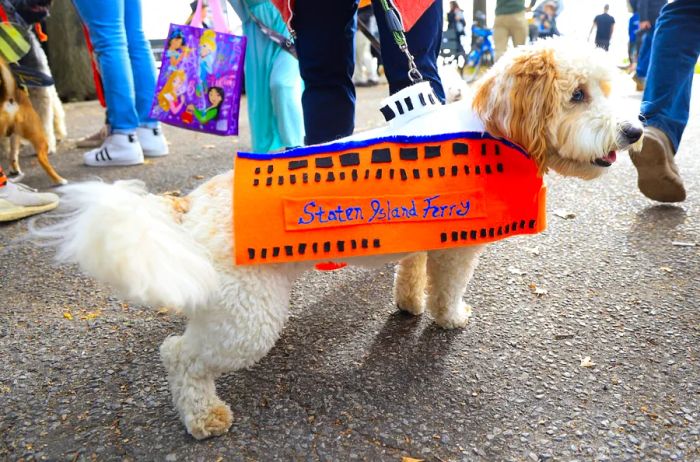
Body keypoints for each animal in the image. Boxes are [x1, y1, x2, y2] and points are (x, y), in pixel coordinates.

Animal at [0, 58, 65, 186]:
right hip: (39, 136)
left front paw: (14, 170)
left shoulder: (14, 135)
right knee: (42, 158)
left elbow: (13, 155)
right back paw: (59, 180)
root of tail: (10, 99)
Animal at [35, 38, 644, 436]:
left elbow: (411, 273)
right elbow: (447, 289)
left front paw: (409, 305)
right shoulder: (457, 247)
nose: (635, 131)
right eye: (577, 95)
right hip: (247, 318)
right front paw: (449, 318)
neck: (489, 127)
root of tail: (190, 205)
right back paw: (203, 417)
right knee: (180, 356)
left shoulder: (423, 234)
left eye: (611, 87)